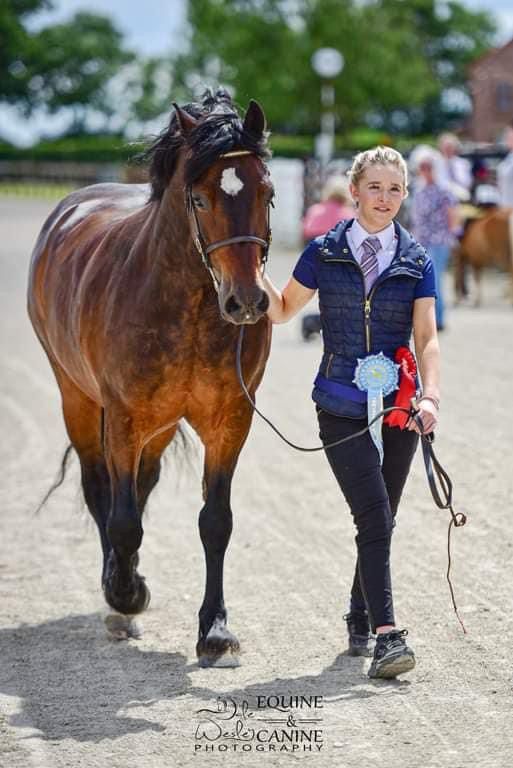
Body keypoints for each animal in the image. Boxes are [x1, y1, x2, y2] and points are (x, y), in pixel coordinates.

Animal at [27, 90, 274, 664]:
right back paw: (119, 590)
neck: (188, 304)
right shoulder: (123, 416)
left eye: (268, 193)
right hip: (77, 399)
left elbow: (215, 521)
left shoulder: (230, 421)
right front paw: (125, 595)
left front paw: (215, 630)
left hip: (159, 425)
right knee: (101, 489)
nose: (247, 302)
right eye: (200, 200)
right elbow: (121, 518)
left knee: (141, 484)